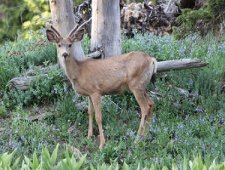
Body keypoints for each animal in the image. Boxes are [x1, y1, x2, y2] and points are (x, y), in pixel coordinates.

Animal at [46, 20, 156, 149]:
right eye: (59, 45)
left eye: (69, 45)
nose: (64, 54)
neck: (78, 72)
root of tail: (152, 60)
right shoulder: (88, 94)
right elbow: (90, 112)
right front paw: (89, 136)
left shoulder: (95, 91)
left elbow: (98, 117)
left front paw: (102, 143)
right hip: (143, 85)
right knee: (151, 103)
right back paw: (145, 136)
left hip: (136, 84)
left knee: (145, 107)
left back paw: (137, 139)